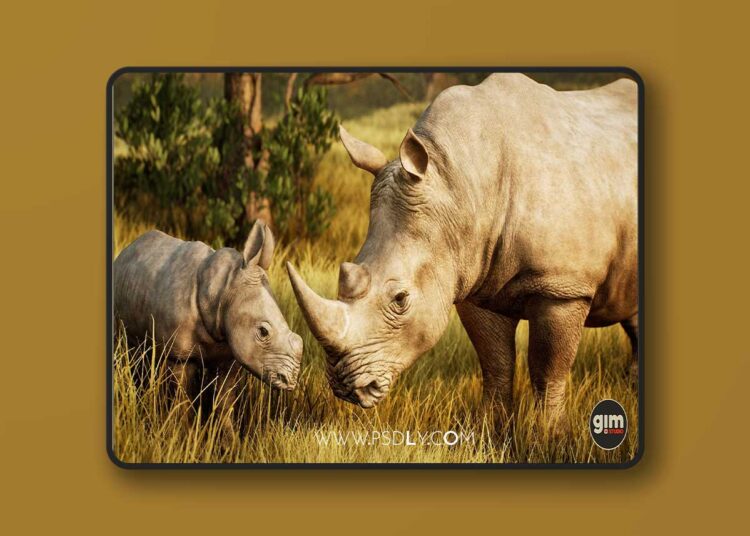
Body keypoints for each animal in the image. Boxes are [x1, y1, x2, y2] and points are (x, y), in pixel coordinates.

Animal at [114, 220, 303, 419]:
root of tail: (127, 250)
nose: (290, 381)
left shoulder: (229, 350)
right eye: (263, 332)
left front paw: (227, 429)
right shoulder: (179, 354)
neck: (226, 288)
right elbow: (181, 399)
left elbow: (225, 402)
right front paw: (182, 426)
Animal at [287, 73, 638, 430]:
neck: (456, 183)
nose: (346, 388)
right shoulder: (476, 281)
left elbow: (548, 371)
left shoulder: (563, 286)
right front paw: (488, 429)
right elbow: (495, 362)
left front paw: (548, 433)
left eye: (400, 299)